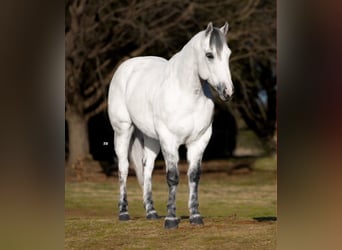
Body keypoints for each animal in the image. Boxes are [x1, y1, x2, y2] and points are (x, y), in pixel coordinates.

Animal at [108, 22, 234, 229]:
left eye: (229, 54)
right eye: (209, 55)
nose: (228, 92)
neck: (187, 94)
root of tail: (126, 67)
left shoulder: (199, 141)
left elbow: (193, 176)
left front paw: (195, 216)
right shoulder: (169, 140)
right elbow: (173, 177)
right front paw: (171, 220)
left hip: (151, 138)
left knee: (147, 168)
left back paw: (151, 212)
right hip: (123, 130)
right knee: (124, 168)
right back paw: (124, 212)